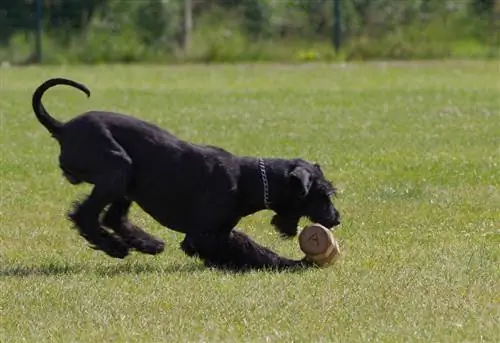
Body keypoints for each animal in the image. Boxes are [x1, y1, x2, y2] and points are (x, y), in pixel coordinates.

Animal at [33, 77, 342, 272]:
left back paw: (148, 244)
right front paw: (294, 264)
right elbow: (251, 250)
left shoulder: (220, 231)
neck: (249, 180)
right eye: (323, 194)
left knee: (112, 216)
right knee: (84, 214)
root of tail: (63, 128)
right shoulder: (203, 235)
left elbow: (244, 246)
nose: (336, 219)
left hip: (127, 181)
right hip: (118, 169)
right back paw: (115, 247)